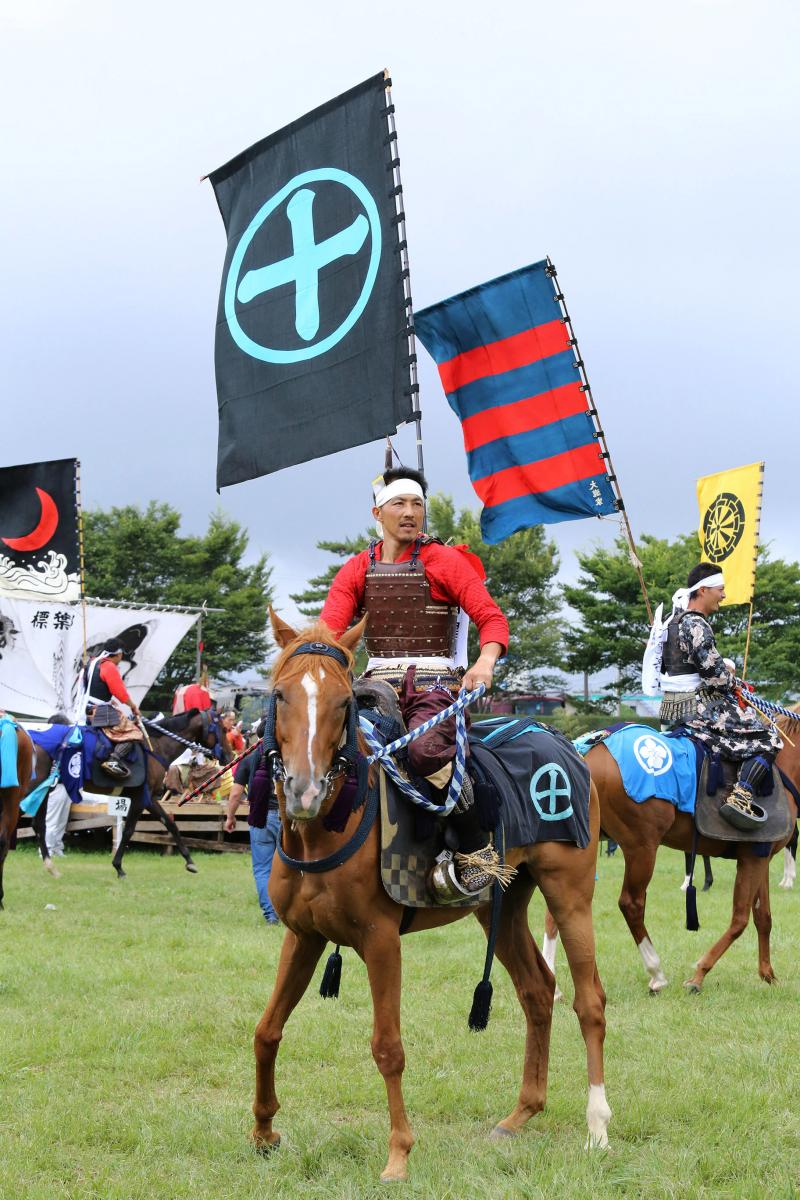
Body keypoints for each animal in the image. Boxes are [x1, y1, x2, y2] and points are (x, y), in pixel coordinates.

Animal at [253, 614, 609, 1185]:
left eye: (342, 702)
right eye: (280, 696)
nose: (305, 791)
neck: (331, 825)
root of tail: (566, 746)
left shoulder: (380, 940)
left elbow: (388, 1047)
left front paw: (399, 1154)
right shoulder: (303, 936)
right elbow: (267, 1031)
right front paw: (264, 1132)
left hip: (569, 893)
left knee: (589, 1001)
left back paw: (597, 1126)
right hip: (499, 906)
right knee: (537, 990)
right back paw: (520, 1114)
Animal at [551, 710, 800, 993]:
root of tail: (588, 751)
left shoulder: (760, 856)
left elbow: (763, 917)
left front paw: (768, 974)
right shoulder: (753, 858)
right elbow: (740, 919)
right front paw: (699, 975)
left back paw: (555, 986)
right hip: (642, 847)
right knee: (631, 903)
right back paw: (656, 973)